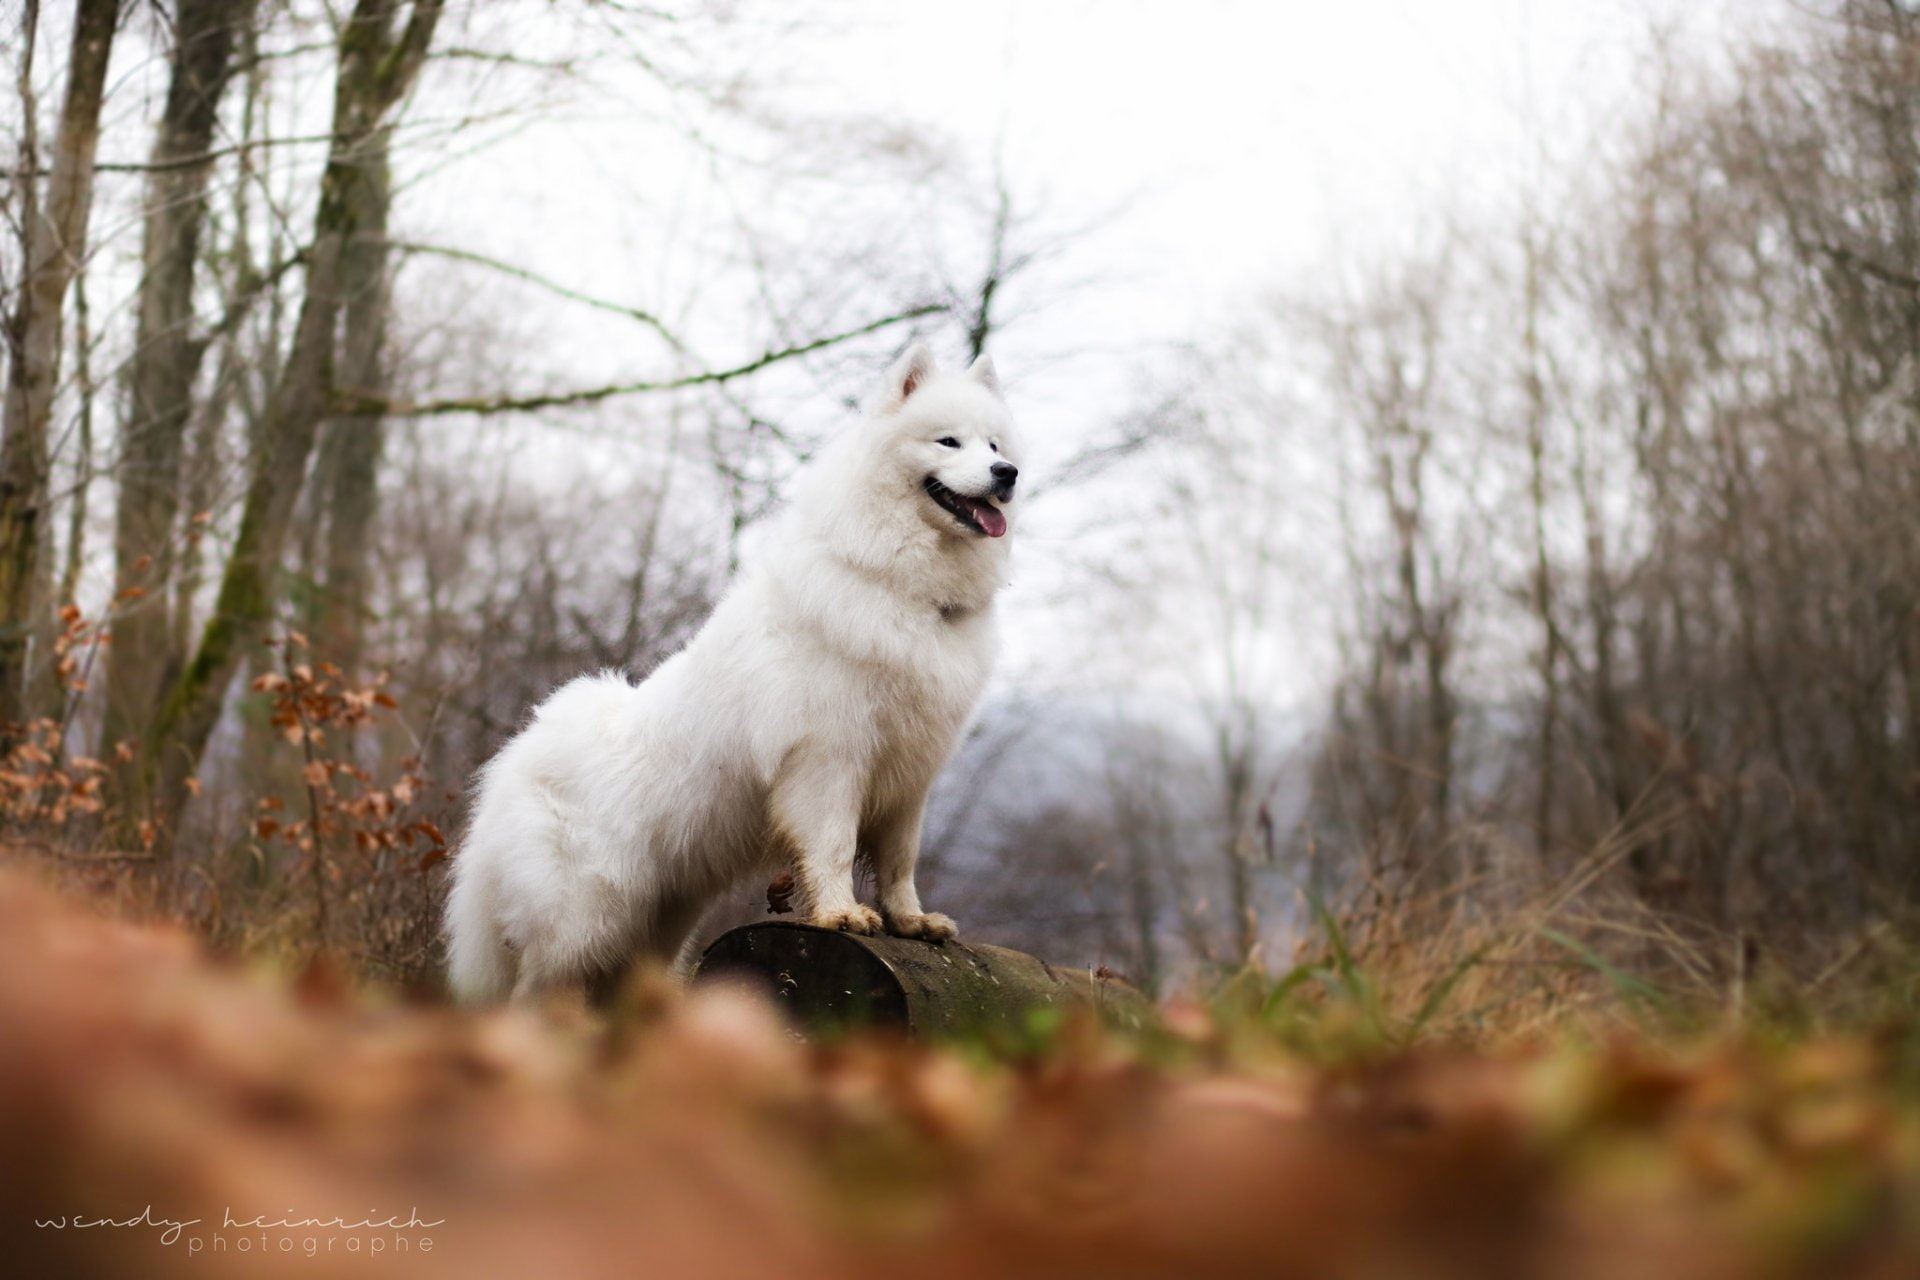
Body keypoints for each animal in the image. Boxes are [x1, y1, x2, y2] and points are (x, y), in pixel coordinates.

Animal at [443, 344, 1020, 1005]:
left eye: (995, 445)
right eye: (949, 441)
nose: (1007, 474)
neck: (901, 587)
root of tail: (522, 753)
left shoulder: (910, 775)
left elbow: (900, 861)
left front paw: (910, 922)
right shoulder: (829, 759)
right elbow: (834, 846)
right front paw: (841, 914)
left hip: (659, 921)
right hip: (585, 923)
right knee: (533, 991)